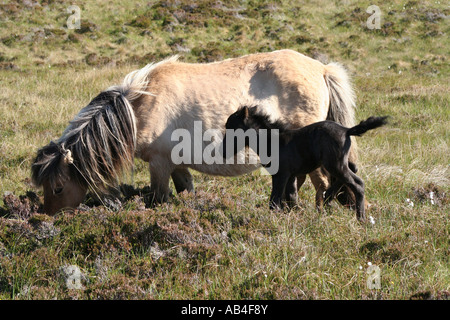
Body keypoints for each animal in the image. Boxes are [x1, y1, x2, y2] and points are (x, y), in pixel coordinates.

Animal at [31, 49, 356, 215]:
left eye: (57, 187)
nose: (47, 217)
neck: (139, 108)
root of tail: (322, 70)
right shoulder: (177, 165)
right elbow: (186, 191)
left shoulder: (159, 165)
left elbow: (158, 200)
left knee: (321, 184)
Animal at [223, 106, 388, 221]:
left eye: (232, 129)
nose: (222, 151)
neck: (271, 141)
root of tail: (346, 130)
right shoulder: (290, 176)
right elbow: (291, 196)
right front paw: (293, 214)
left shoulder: (281, 174)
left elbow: (275, 199)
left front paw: (275, 218)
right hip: (337, 163)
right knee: (354, 168)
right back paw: (328, 198)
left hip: (334, 164)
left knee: (357, 183)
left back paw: (361, 218)